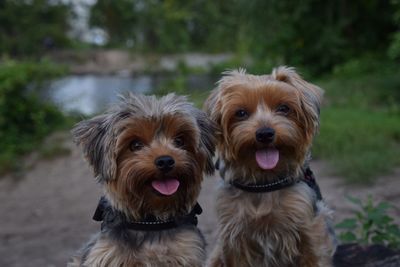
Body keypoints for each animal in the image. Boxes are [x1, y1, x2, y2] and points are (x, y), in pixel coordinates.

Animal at [205, 66, 336, 266]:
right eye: (241, 113)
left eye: (284, 108)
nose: (265, 133)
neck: (264, 182)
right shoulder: (234, 234)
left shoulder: (310, 227)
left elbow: (314, 255)